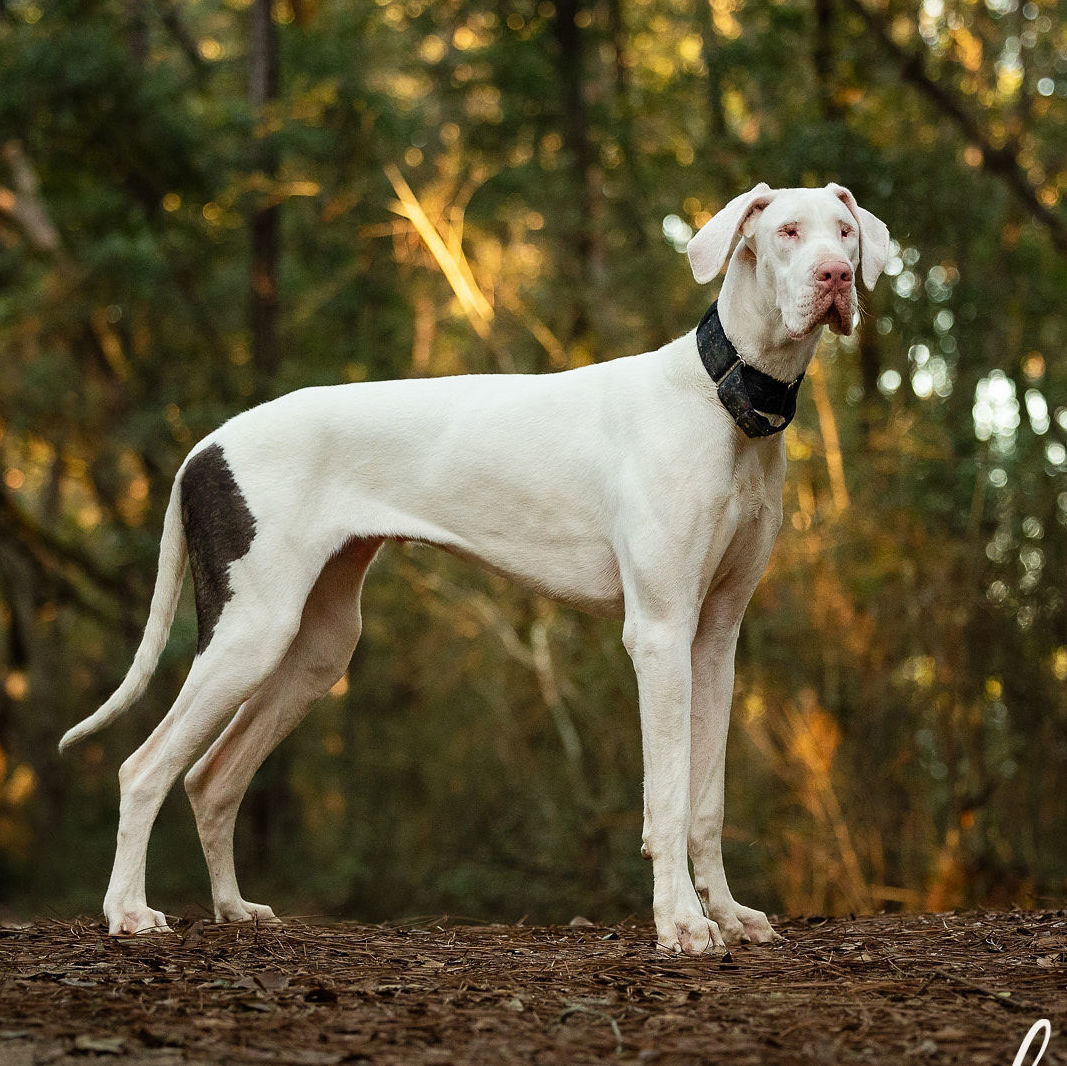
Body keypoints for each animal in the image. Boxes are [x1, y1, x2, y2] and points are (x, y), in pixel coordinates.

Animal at [60, 181, 892, 951]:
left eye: (844, 232)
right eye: (786, 232)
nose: (833, 278)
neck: (721, 398)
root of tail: (204, 448)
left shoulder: (713, 640)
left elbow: (707, 798)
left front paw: (725, 913)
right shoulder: (658, 634)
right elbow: (668, 796)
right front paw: (682, 922)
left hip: (313, 649)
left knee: (212, 777)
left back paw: (233, 908)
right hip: (250, 633)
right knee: (144, 768)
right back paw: (128, 912)